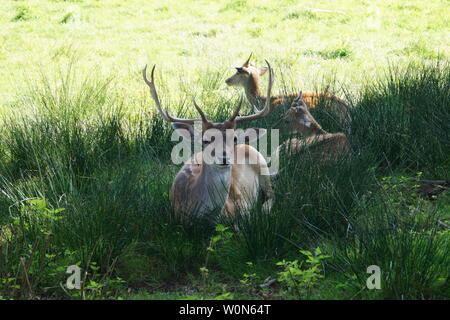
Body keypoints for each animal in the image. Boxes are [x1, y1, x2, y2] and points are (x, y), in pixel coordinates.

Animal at [142, 61, 276, 219]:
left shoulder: (243, 207)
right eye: (205, 140)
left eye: (234, 138)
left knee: (272, 194)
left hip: (263, 165)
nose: (223, 158)